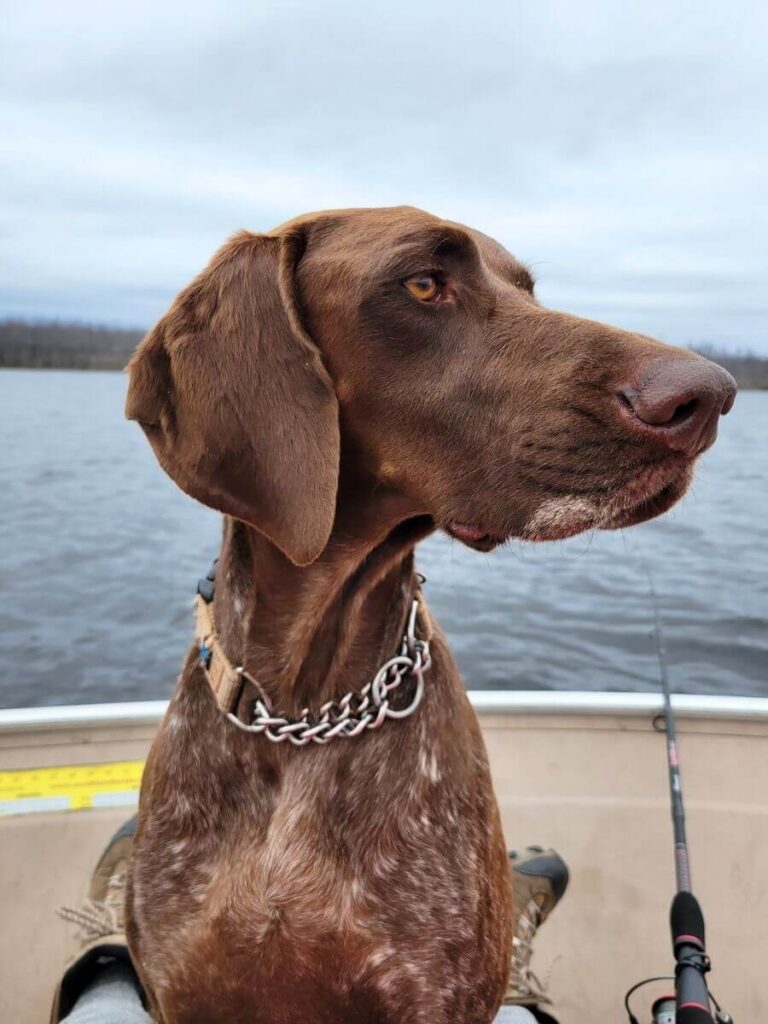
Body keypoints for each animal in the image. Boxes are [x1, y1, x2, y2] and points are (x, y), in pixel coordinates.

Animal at [123, 207, 737, 1024]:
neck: (307, 708)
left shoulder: (432, 993)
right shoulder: (181, 990)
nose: (709, 396)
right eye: (422, 283)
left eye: (526, 290)